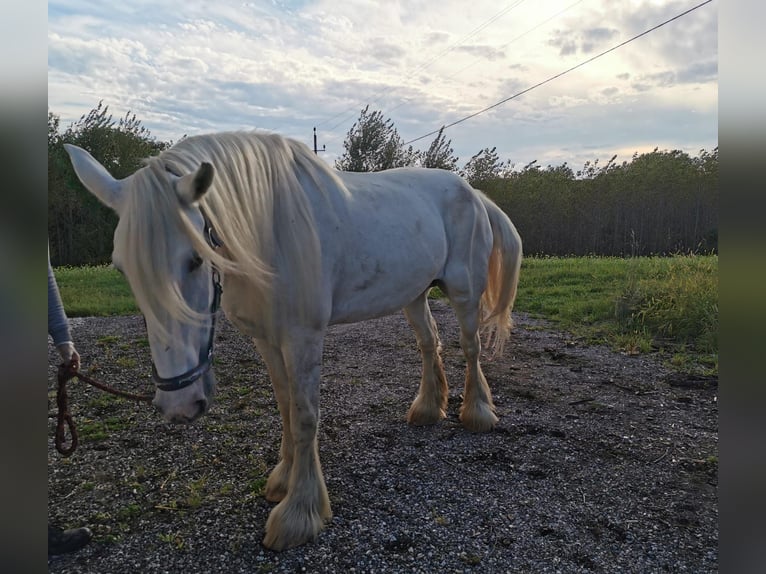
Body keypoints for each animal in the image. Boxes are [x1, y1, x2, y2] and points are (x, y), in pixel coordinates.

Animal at [64, 130, 522, 551]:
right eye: (123, 268)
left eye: (195, 259)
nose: (178, 404)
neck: (269, 232)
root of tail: (473, 193)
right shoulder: (267, 340)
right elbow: (284, 406)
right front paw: (282, 482)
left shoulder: (303, 338)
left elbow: (304, 416)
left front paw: (299, 514)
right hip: (413, 294)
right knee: (429, 345)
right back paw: (427, 408)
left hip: (464, 293)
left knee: (470, 348)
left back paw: (477, 413)